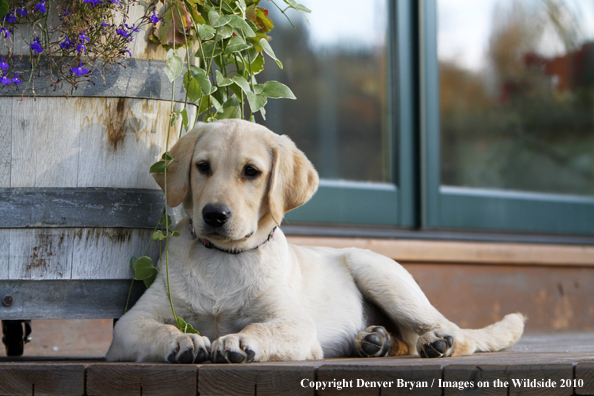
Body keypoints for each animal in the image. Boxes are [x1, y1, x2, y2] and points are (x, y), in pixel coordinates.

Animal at [106, 119, 524, 364]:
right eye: (202, 167)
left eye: (251, 172)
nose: (214, 215)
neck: (223, 258)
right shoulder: (130, 324)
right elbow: (159, 328)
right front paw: (185, 341)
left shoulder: (295, 323)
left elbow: (259, 328)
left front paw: (237, 341)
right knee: (404, 337)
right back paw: (374, 340)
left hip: (380, 274)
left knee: (450, 330)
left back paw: (436, 342)